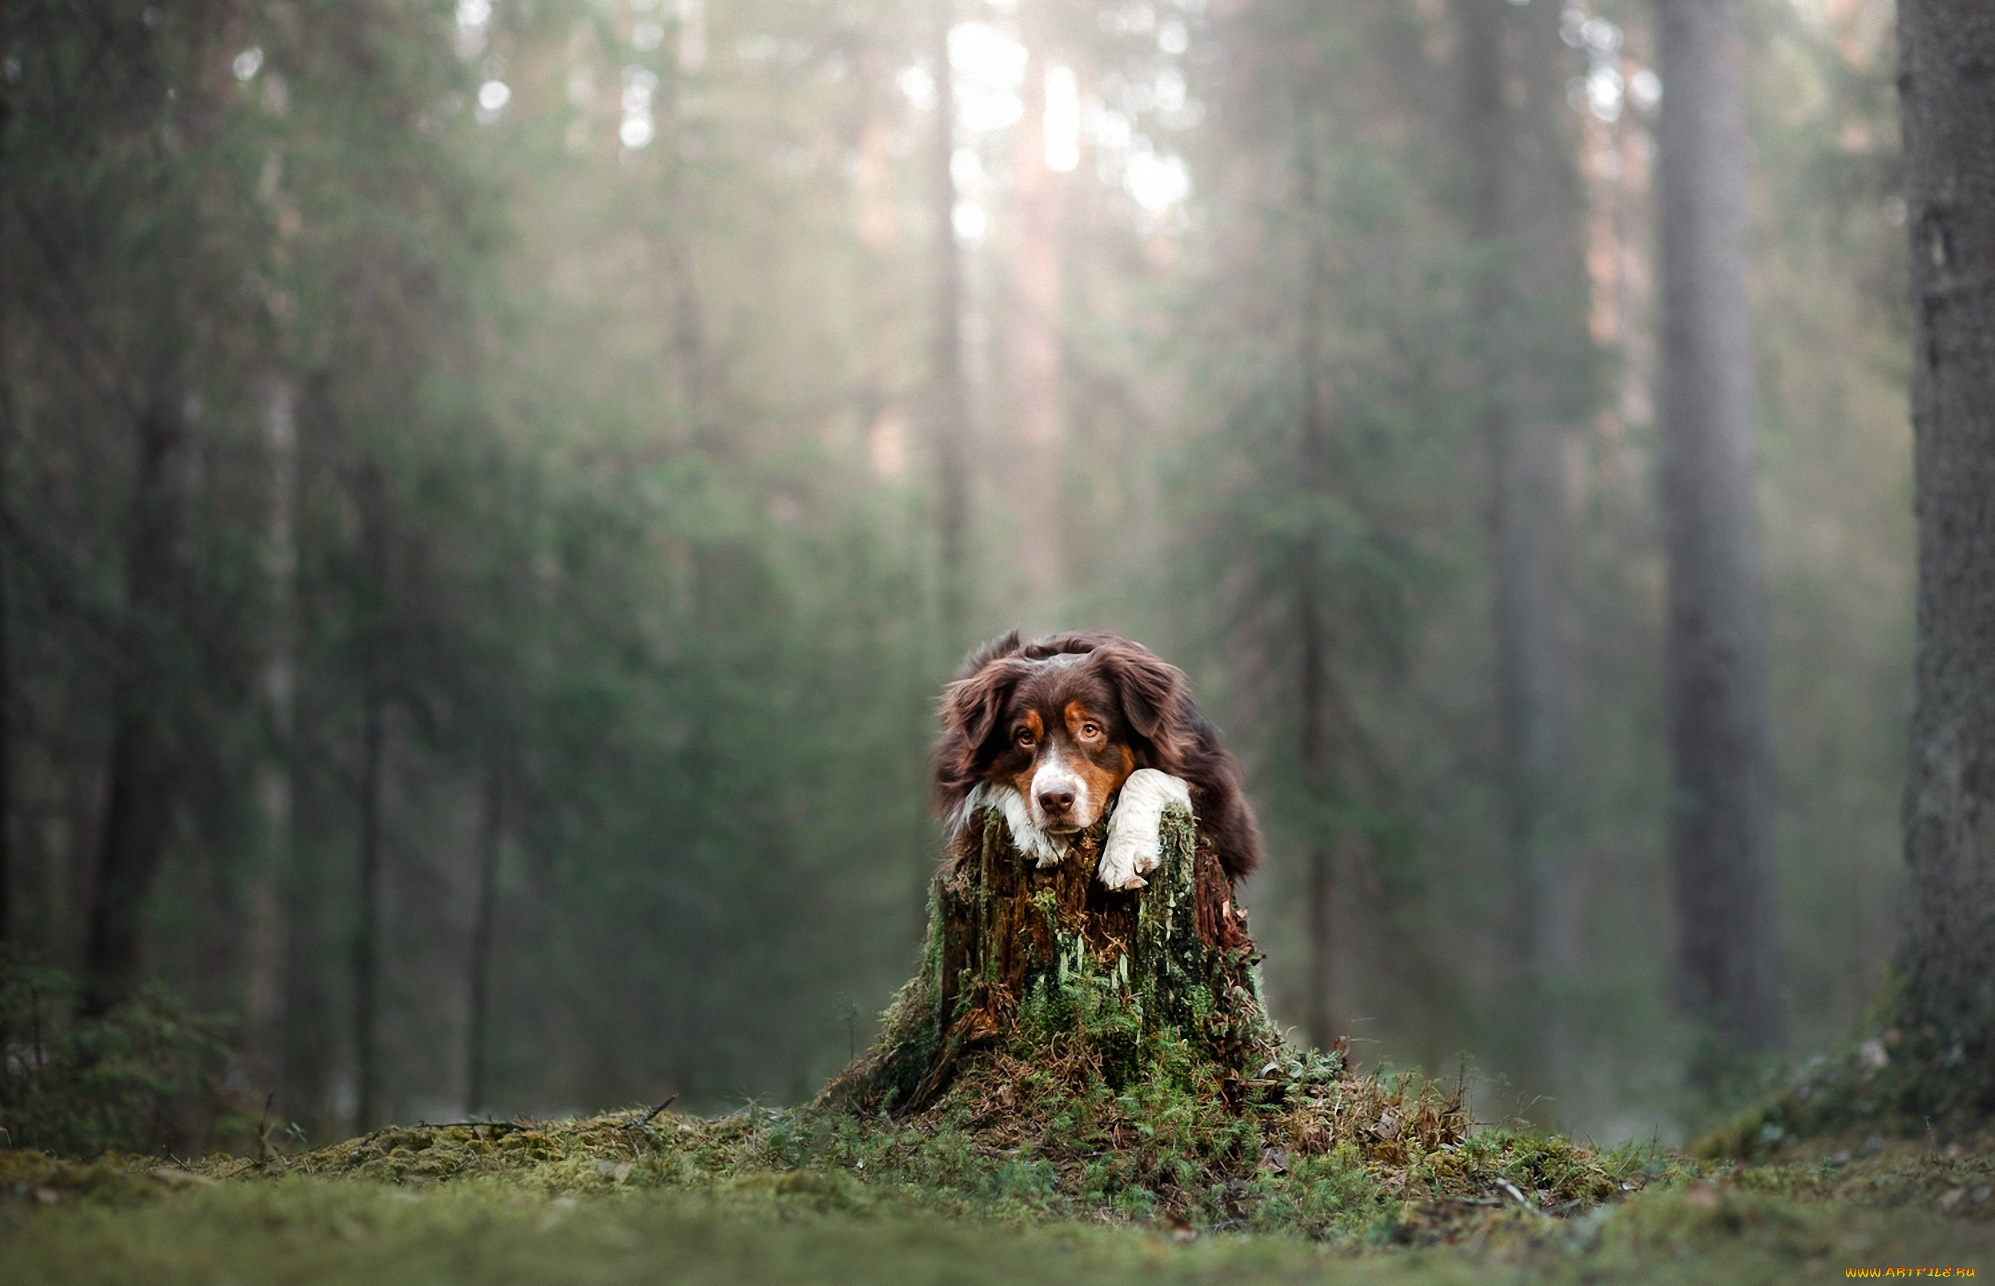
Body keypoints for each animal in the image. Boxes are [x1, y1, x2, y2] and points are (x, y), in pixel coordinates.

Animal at [933, 626, 1260, 889]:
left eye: (1090, 729)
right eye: (1024, 737)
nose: (1055, 800)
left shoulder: (1226, 811)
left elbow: (1148, 775)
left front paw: (1126, 849)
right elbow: (987, 785)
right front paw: (1037, 835)